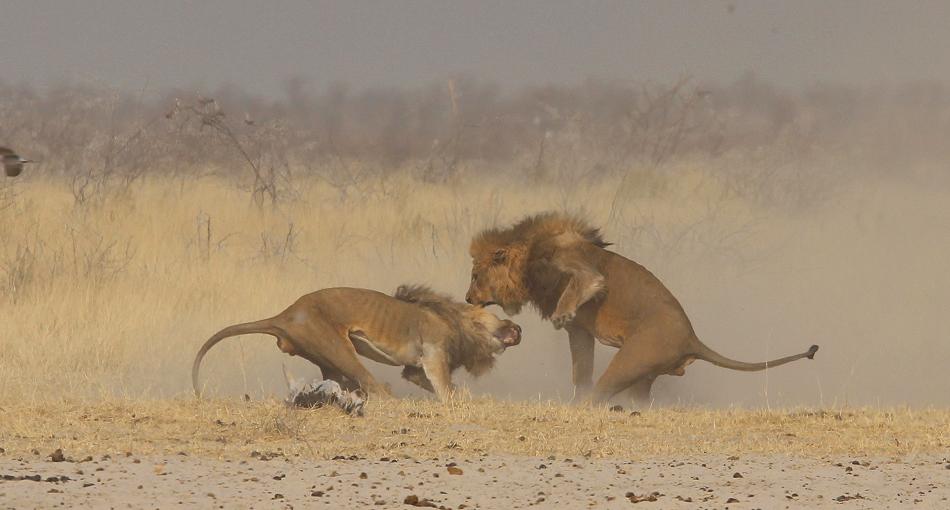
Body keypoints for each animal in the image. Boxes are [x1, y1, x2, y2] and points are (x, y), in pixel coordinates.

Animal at [191, 284, 524, 400]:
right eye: (496, 317)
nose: (518, 327)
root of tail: (285, 315)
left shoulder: (414, 370)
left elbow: (425, 380)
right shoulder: (433, 355)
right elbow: (445, 388)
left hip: (326, 358)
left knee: (346, 383)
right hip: (339, 349)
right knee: (376, 387)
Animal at [466, 211, 820, 402]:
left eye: (474, 275)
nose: (468, 299)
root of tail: (692, 338)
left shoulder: (571, 258)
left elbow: (589, 280)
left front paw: (561, 312)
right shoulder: (580, 331)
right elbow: (581, 368)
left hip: (632, 360)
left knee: (602, 391)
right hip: (644, 377)